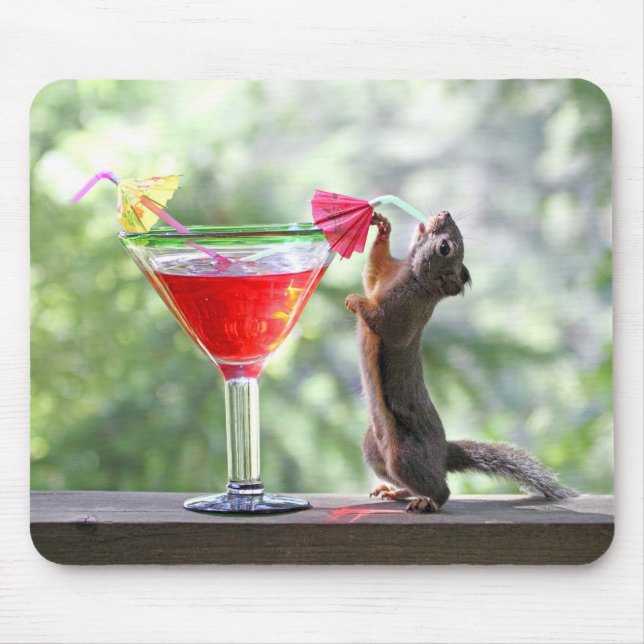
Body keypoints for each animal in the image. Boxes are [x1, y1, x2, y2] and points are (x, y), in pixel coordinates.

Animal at [345, 210, 578, 512]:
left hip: (404, 455)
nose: (444, 213)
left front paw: (354, 300)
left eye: (445, 248)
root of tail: (442, 453)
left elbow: (380, 319)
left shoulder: (402, 314)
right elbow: (371, 273)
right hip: (374, 447)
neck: (410, 275)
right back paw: (396, 492)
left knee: (441, 489)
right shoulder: (382, 277)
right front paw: (383, 227)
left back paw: (427, 502)